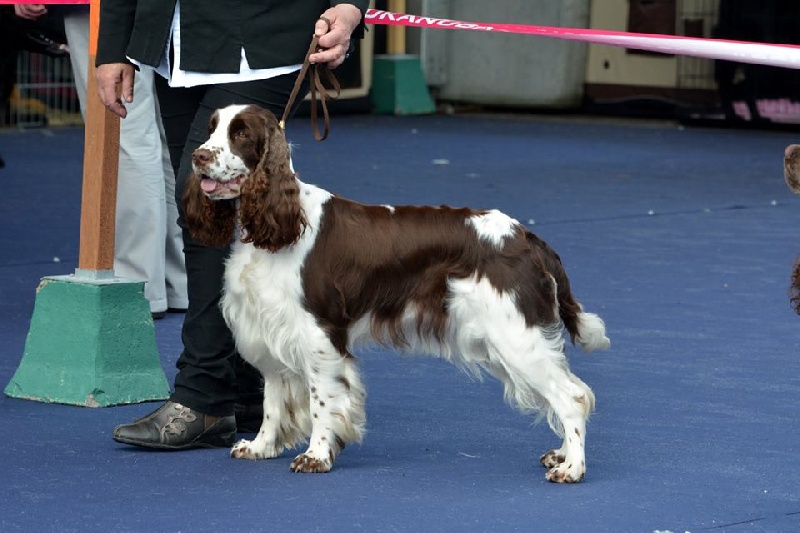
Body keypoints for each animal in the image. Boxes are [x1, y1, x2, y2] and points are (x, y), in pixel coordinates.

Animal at [184, 104, 608, 482]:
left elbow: (322, 402)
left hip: (516, 335)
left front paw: (316, 456)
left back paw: (572, 468)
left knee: (572, 396)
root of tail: (526, 237)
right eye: (211, 127)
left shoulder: (319, 336)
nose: (198, 156)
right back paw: (561, 456)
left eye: (241, 133)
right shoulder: (269, 327)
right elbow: (272, 400)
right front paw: (260, 446)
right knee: (571, 391)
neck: (276, 226)